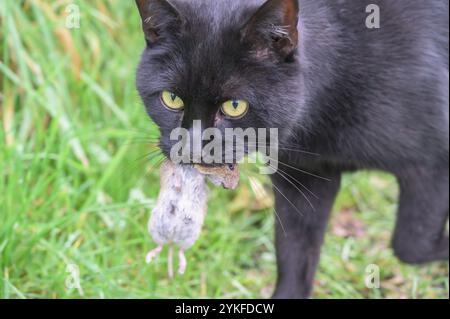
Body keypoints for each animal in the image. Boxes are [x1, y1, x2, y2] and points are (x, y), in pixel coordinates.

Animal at [134, 0, 450, 300]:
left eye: (234, 105)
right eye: (171, 98)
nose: (191, 147)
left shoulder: (432, 163)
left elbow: (410, 243)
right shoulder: (302, 178)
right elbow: (294, 255)